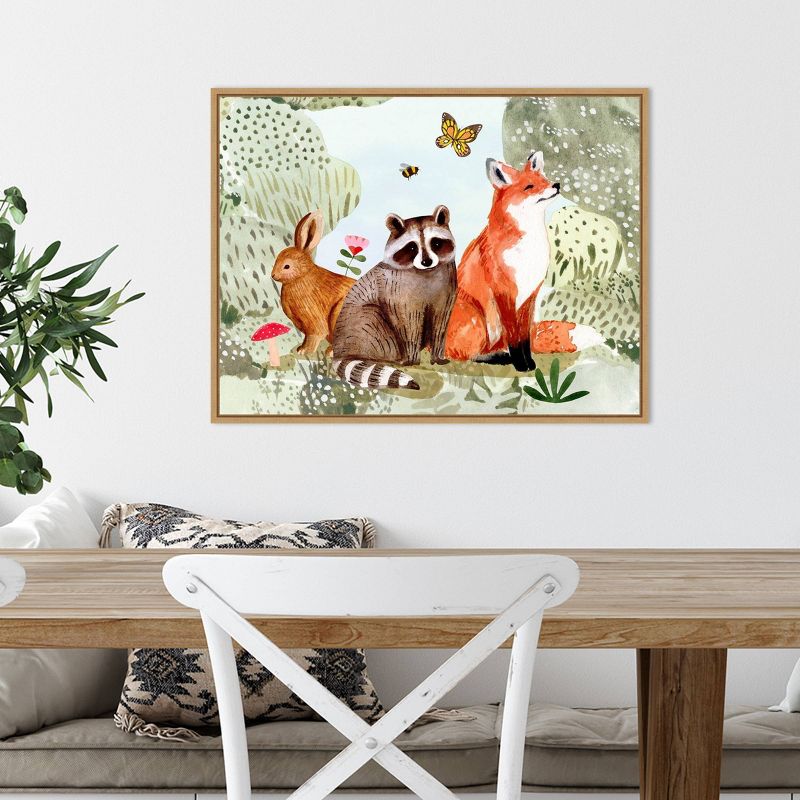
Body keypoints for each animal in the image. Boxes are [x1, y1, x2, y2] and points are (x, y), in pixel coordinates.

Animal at [445, 150, 603, 371]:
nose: (556, 185)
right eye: (529, 186)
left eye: (544, 179)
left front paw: (529, 362)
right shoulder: (505, 294)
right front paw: (521, 364)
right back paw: (497, 358)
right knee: (462, 355)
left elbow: (524, 338)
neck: (529, 250)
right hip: (476, 318)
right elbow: (514, 337)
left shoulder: (530, 295)